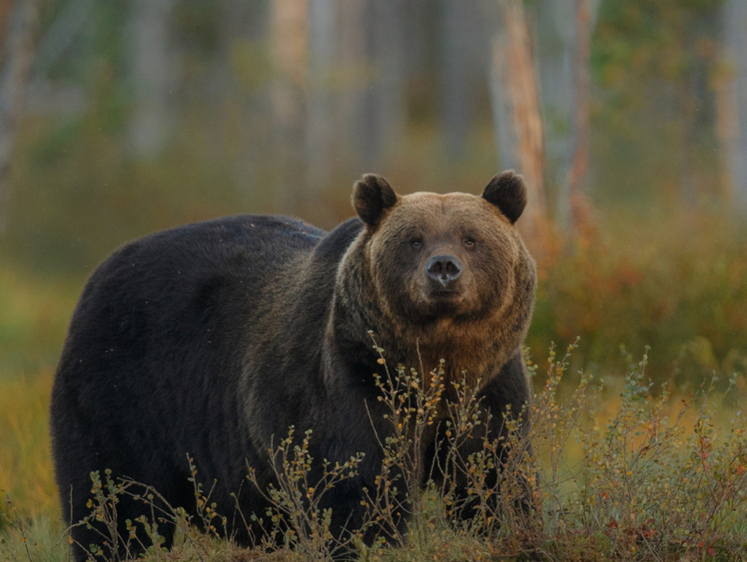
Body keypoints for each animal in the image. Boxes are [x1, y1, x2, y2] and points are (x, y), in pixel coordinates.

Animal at [48, 172, 536, 560]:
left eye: (471, 238)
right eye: (413, 239)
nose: (444, 268)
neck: (433, 360)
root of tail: (102, 269)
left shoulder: (489, 383)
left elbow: (495, 473)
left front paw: (508, 531)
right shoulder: (349, 377)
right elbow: (355, 485)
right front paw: (367, 543)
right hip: (120, 388)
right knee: (112, 499)